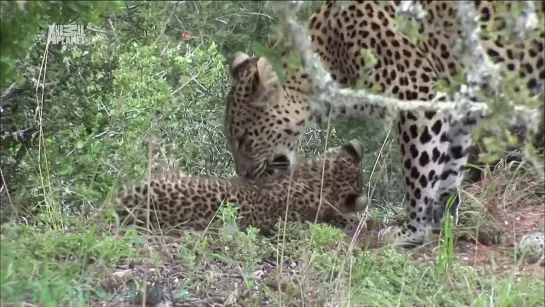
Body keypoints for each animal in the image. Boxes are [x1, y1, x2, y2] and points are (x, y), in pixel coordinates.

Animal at [223, 0, 540, 247]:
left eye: (244, 139)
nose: (244, 176)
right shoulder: (458, 107)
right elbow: (449, 170)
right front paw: (443, 220)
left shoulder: (420, 99)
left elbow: (420, 173)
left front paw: (412, 230)